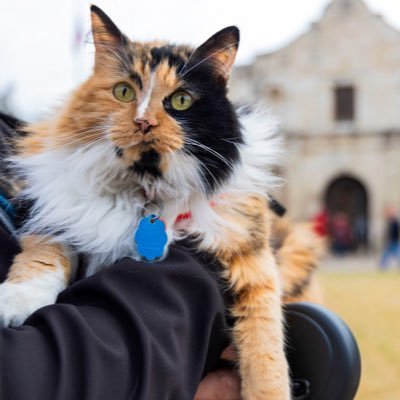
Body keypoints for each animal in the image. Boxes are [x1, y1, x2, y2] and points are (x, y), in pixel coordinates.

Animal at [0, 4, 322, 398]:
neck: (145, 190)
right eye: (124, 92)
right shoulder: (59, 212)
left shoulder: (251, 257)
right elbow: (42, 259)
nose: (144, 123)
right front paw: (11, 303)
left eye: (181, 100)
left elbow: (266, 355)